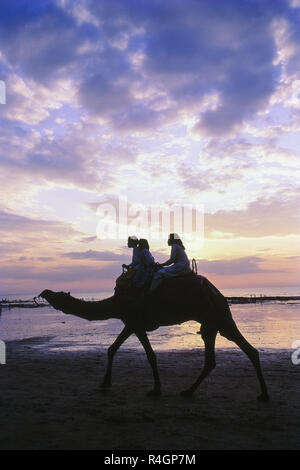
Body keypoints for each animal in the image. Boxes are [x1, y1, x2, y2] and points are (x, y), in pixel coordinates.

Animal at [37, 274, 270, 402]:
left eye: (58, 294)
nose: (44, 291)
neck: (116, 302)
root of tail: (217, 292)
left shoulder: (135, 322)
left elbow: (149, 356)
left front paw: (155, 389)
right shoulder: (131, 323)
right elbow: (113, 349)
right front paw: (105, 382)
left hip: (218, 316)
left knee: (244, 349)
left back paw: (264, 394)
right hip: (211, 324)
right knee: (217, 357)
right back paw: (189, 391)